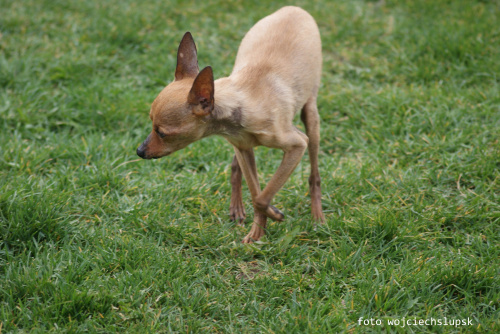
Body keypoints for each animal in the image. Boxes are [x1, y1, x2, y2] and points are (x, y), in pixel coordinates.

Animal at [137, 5, 324, 243]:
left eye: (162, 133)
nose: (139, 151)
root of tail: (293, 8)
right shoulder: (243, 148)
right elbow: (256, 193)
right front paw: (258, 232)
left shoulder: (297, 145)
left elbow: (262, 197)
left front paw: (270, 219)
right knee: (237, 169)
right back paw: (236, 208)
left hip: (311, 119)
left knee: (314, 175)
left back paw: (318, 217)